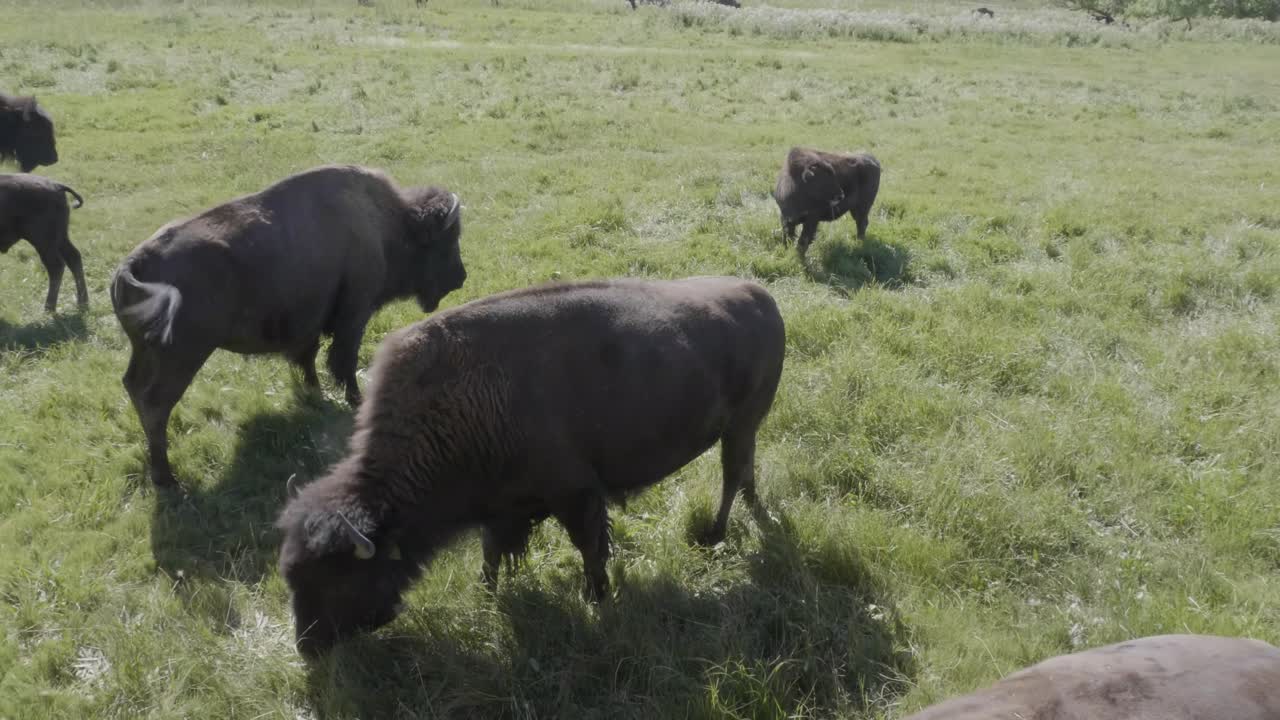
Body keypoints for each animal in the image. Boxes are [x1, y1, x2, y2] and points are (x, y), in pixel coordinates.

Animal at [0, 174, 88, 312]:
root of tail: (56, 185)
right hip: (60, 238)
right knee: (73, 258)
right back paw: (82, 302)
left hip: (43, 242)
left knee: (56, 266)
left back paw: (49, 308)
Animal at [111, 164, 466, 487]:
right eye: (446, 241)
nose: (460, 278)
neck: (386, 222)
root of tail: (133, 265)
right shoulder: (355, 313)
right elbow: (344, 359)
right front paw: (356, 400)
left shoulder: (310, 323)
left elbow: (309, 357)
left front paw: (315, 393)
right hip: (183, 356)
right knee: (155, 403)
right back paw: (166, 478)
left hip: (145, 352)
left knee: (133, 387)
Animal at [277, 276, 786, 656]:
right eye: (291, 575)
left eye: (339, 581)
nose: (308, 648)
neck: (456, 403)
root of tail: (763, 299)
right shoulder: (503, 509)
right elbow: (492, 553)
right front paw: (487, 597)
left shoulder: (575, 496)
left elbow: (590, 549)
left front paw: (597, 599)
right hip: (742, 429)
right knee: (745, 471)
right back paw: (753, 515)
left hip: (740, 426)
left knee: (731, 475)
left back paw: (716, 534)